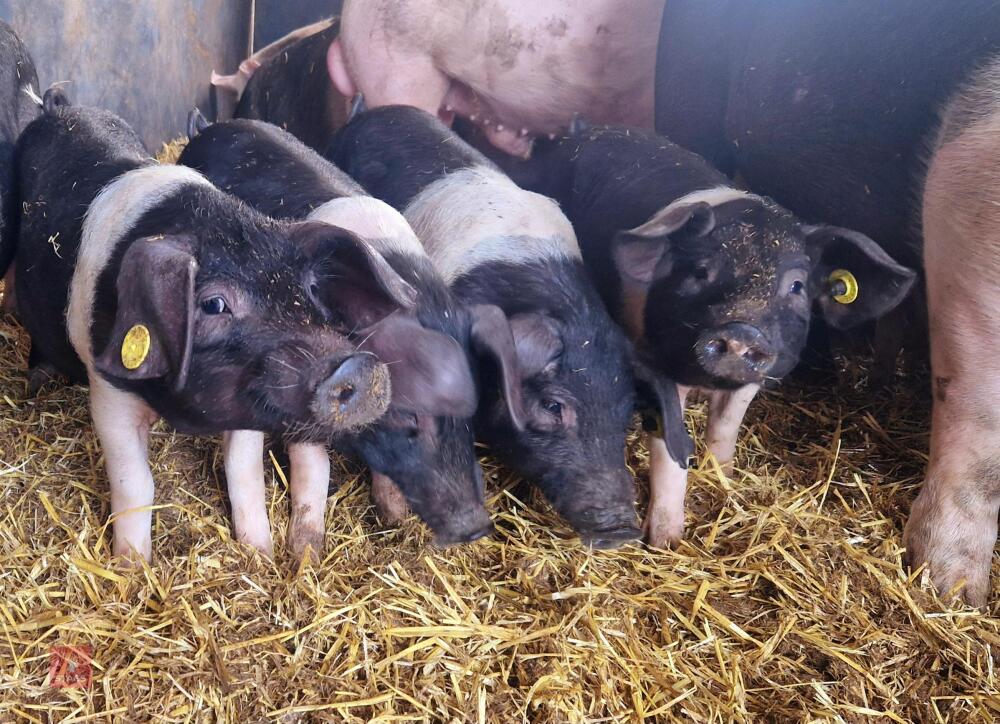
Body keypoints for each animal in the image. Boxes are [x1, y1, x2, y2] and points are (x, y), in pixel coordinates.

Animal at [8, 90, 410, 560]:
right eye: (213, 303)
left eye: (309, 290)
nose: (359, 367)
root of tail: (60, 107)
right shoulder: (108, 385)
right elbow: (134, 483)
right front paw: (131, 565)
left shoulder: (246, 401)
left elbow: (244, 471)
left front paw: (260, 553)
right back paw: (35, 380)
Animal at [179, 117, 526, 549]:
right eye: (407, 416)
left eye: (472, 416)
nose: (475, 526)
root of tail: (212, 126)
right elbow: (312, 461)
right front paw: (304, 550)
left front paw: (393, 516)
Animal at [504, 125, 916, 547]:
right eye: (700, 271)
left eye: (797, 286)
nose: (740, 330)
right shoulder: (654, 365)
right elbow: (668, 450)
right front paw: (666, 542)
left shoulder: (750, 380)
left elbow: (725, 427)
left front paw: (725, 479)